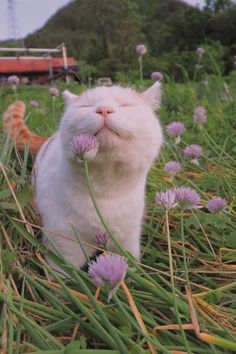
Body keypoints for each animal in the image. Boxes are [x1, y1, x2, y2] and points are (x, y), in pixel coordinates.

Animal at [32, 83, 162, 270]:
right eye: (86, 106)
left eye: (125, 105)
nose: (104, 109)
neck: (104, 191)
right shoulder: (63, 246)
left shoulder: (127, 242)